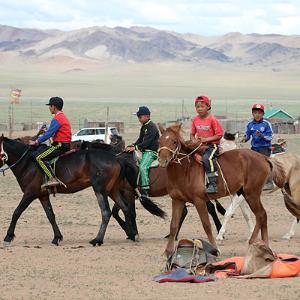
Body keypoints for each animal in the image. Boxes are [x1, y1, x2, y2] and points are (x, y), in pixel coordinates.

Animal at [0, 135, 165, 246]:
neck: (27, 163)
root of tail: (117, 159)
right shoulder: (42, 195)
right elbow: (50, 215)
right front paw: (57, 237)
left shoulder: (30, 193)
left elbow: (16, 212)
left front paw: (8, 237)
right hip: (112, 191)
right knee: (125, 210)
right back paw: (132, 235)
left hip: (100, 190)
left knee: (107, 212)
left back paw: (98, 240)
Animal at [157, 123, 286, 256]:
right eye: (159, 141)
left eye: (174, 141)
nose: (162, 160)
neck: (186, 170)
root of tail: (263, 158)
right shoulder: (177, 200)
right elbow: (173, 226)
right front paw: (168, 251)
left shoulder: (199, 201)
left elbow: (207, 225)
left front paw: (215, 248)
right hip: (247, 194)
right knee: (261, 215)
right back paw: (262, 244)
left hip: (252, 194)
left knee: (261, 214)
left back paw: (257, 242)